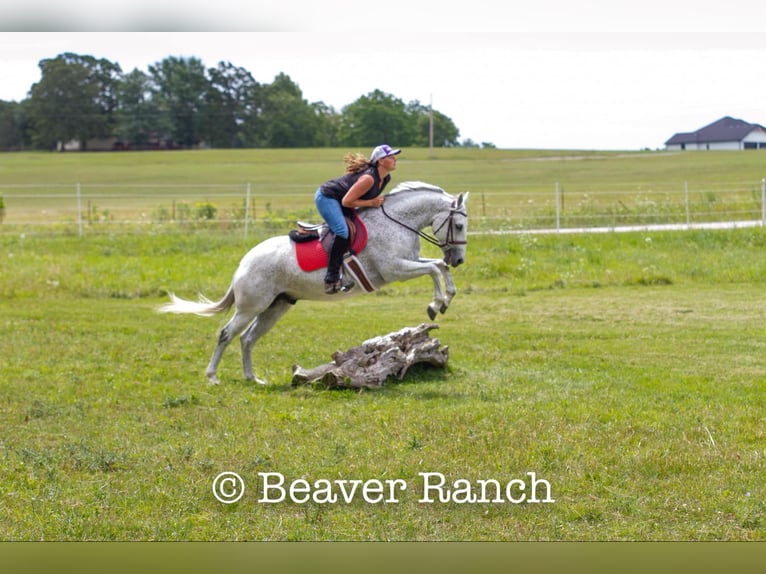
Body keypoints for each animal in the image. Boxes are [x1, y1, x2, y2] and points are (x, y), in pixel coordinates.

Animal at [158, 181, 469, 384]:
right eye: (460, 225)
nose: (459, 259)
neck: (397, 222)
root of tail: (243, 262)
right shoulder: (395, 269)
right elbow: (433, 269)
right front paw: (435, 305)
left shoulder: (408, 262)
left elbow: (438, 266)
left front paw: (445, 300)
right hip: (251, 306)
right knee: (226, 334)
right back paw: (212, 377)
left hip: (277, 306)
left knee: (247, 338)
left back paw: (252, 378)